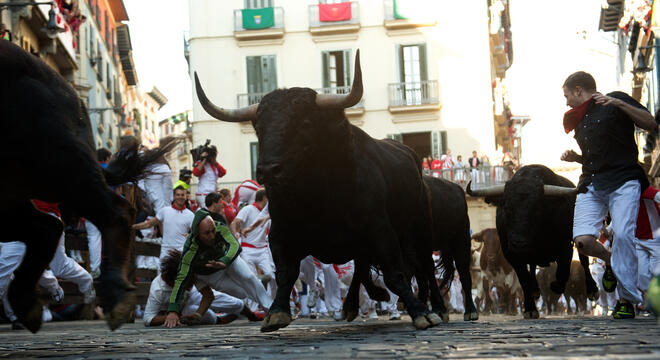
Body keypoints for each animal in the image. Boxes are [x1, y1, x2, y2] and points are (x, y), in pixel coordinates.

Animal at [195, 50, 444, 332]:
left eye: (304, 123)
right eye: (258, 126)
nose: (268, 170)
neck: (317, 196)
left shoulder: (380, 229)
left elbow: (395, 274)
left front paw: (419, 311)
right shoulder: (281, 233)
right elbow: (285, 273)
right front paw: (276, 312)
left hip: (420, 228)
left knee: (424, 267)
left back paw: (435, 308)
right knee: (363, 267)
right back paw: (352, 305)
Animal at [466, 164, 600, 318]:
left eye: (536, 209)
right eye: (507, 208)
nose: (518, 243)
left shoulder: (565, 248)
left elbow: (563, 273)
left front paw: (555, 286)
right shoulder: (512, 256)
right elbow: (524, 280)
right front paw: (530, 309)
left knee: (584, 260)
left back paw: (592, 290)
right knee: (532, 267)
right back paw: (535, 290)